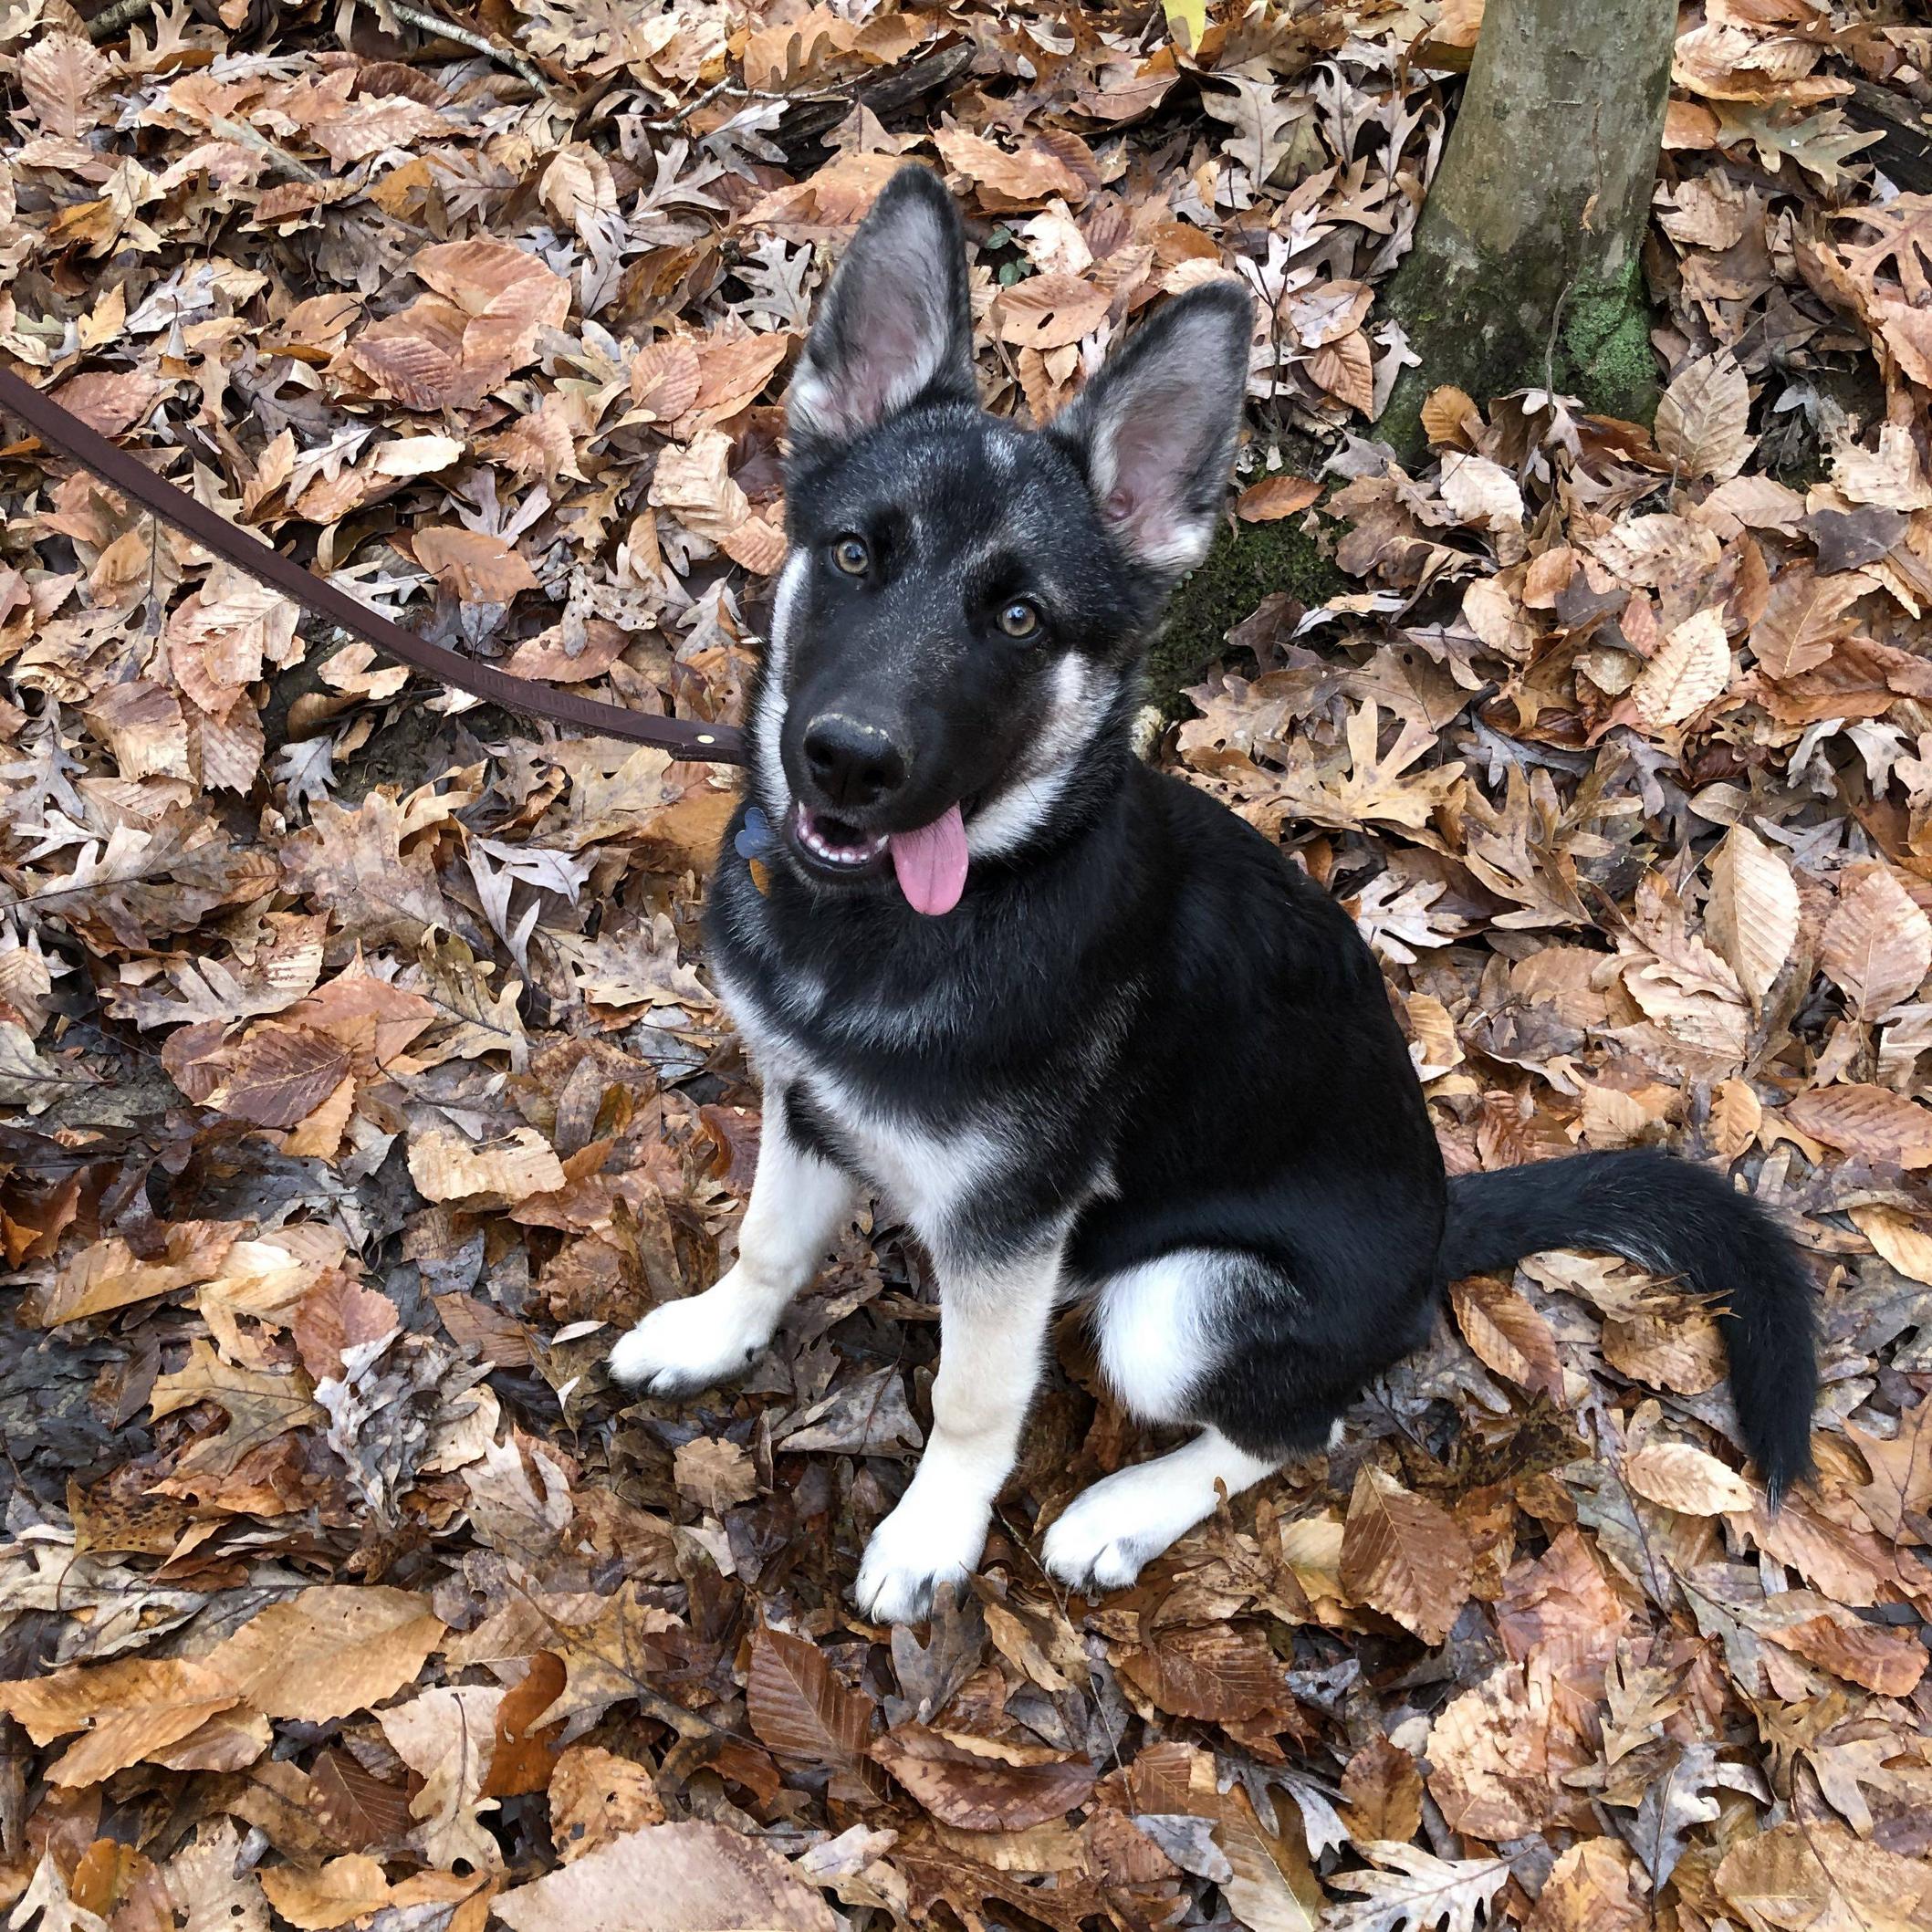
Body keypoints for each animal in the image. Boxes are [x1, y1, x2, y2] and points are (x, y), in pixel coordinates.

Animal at [610, 166, 1815, 1623]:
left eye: (1020, 620)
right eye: (852, 556)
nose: (843, 760)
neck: (920, 916)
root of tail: (1436, 1232)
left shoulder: (1012, 1236)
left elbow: (972, 1395)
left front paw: (933, 1529)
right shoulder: (804, 1101)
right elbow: (769, 1245)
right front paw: (713, 1333)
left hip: (1175, 1305)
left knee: (1298, 1424)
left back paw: (1120, 1513)